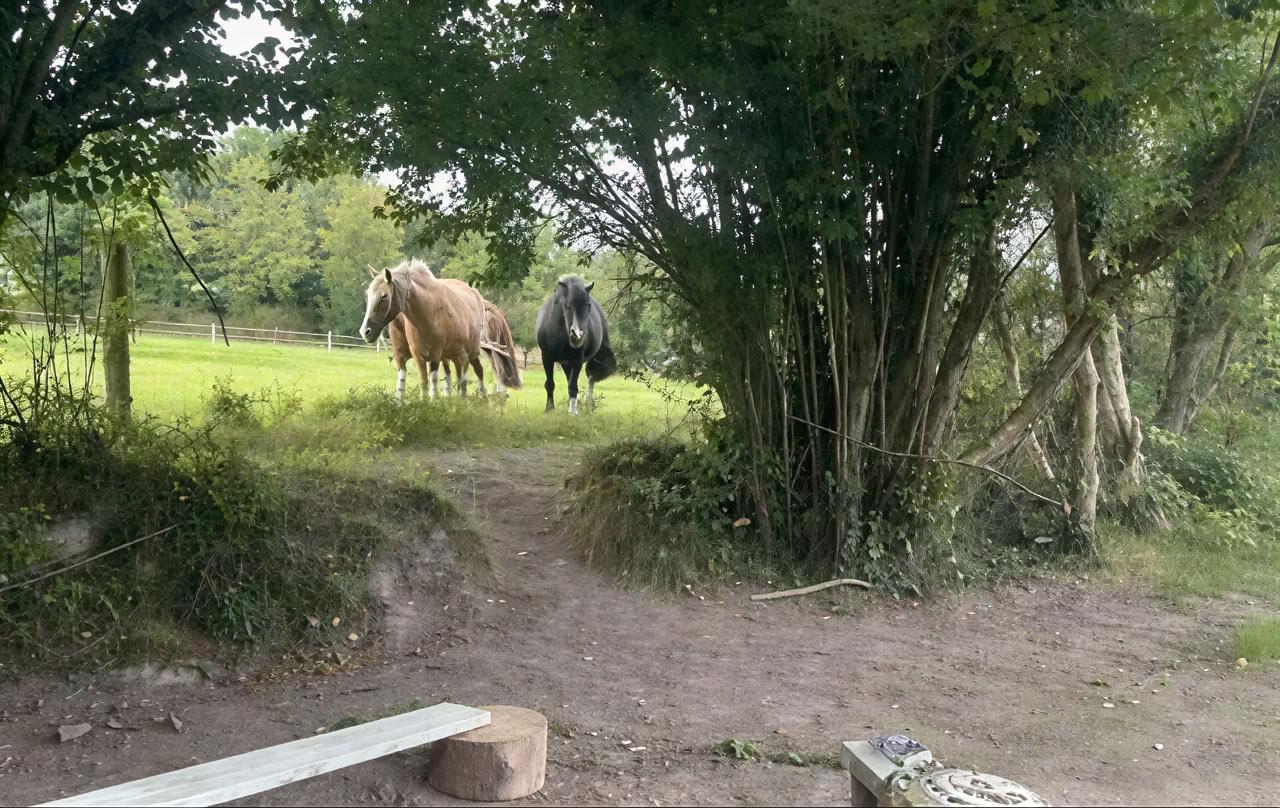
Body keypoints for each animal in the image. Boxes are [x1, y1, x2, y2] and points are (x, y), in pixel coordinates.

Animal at [535, 274, 616, 414]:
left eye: (587, 304)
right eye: (567, 305)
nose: (577, 335)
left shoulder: (578, 359)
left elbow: (573, 387)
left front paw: (573, 412)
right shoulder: (546, 357)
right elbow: (550, 384)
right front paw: (549, 409)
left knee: (591, 377)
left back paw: (589, 404)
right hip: (566, 363)